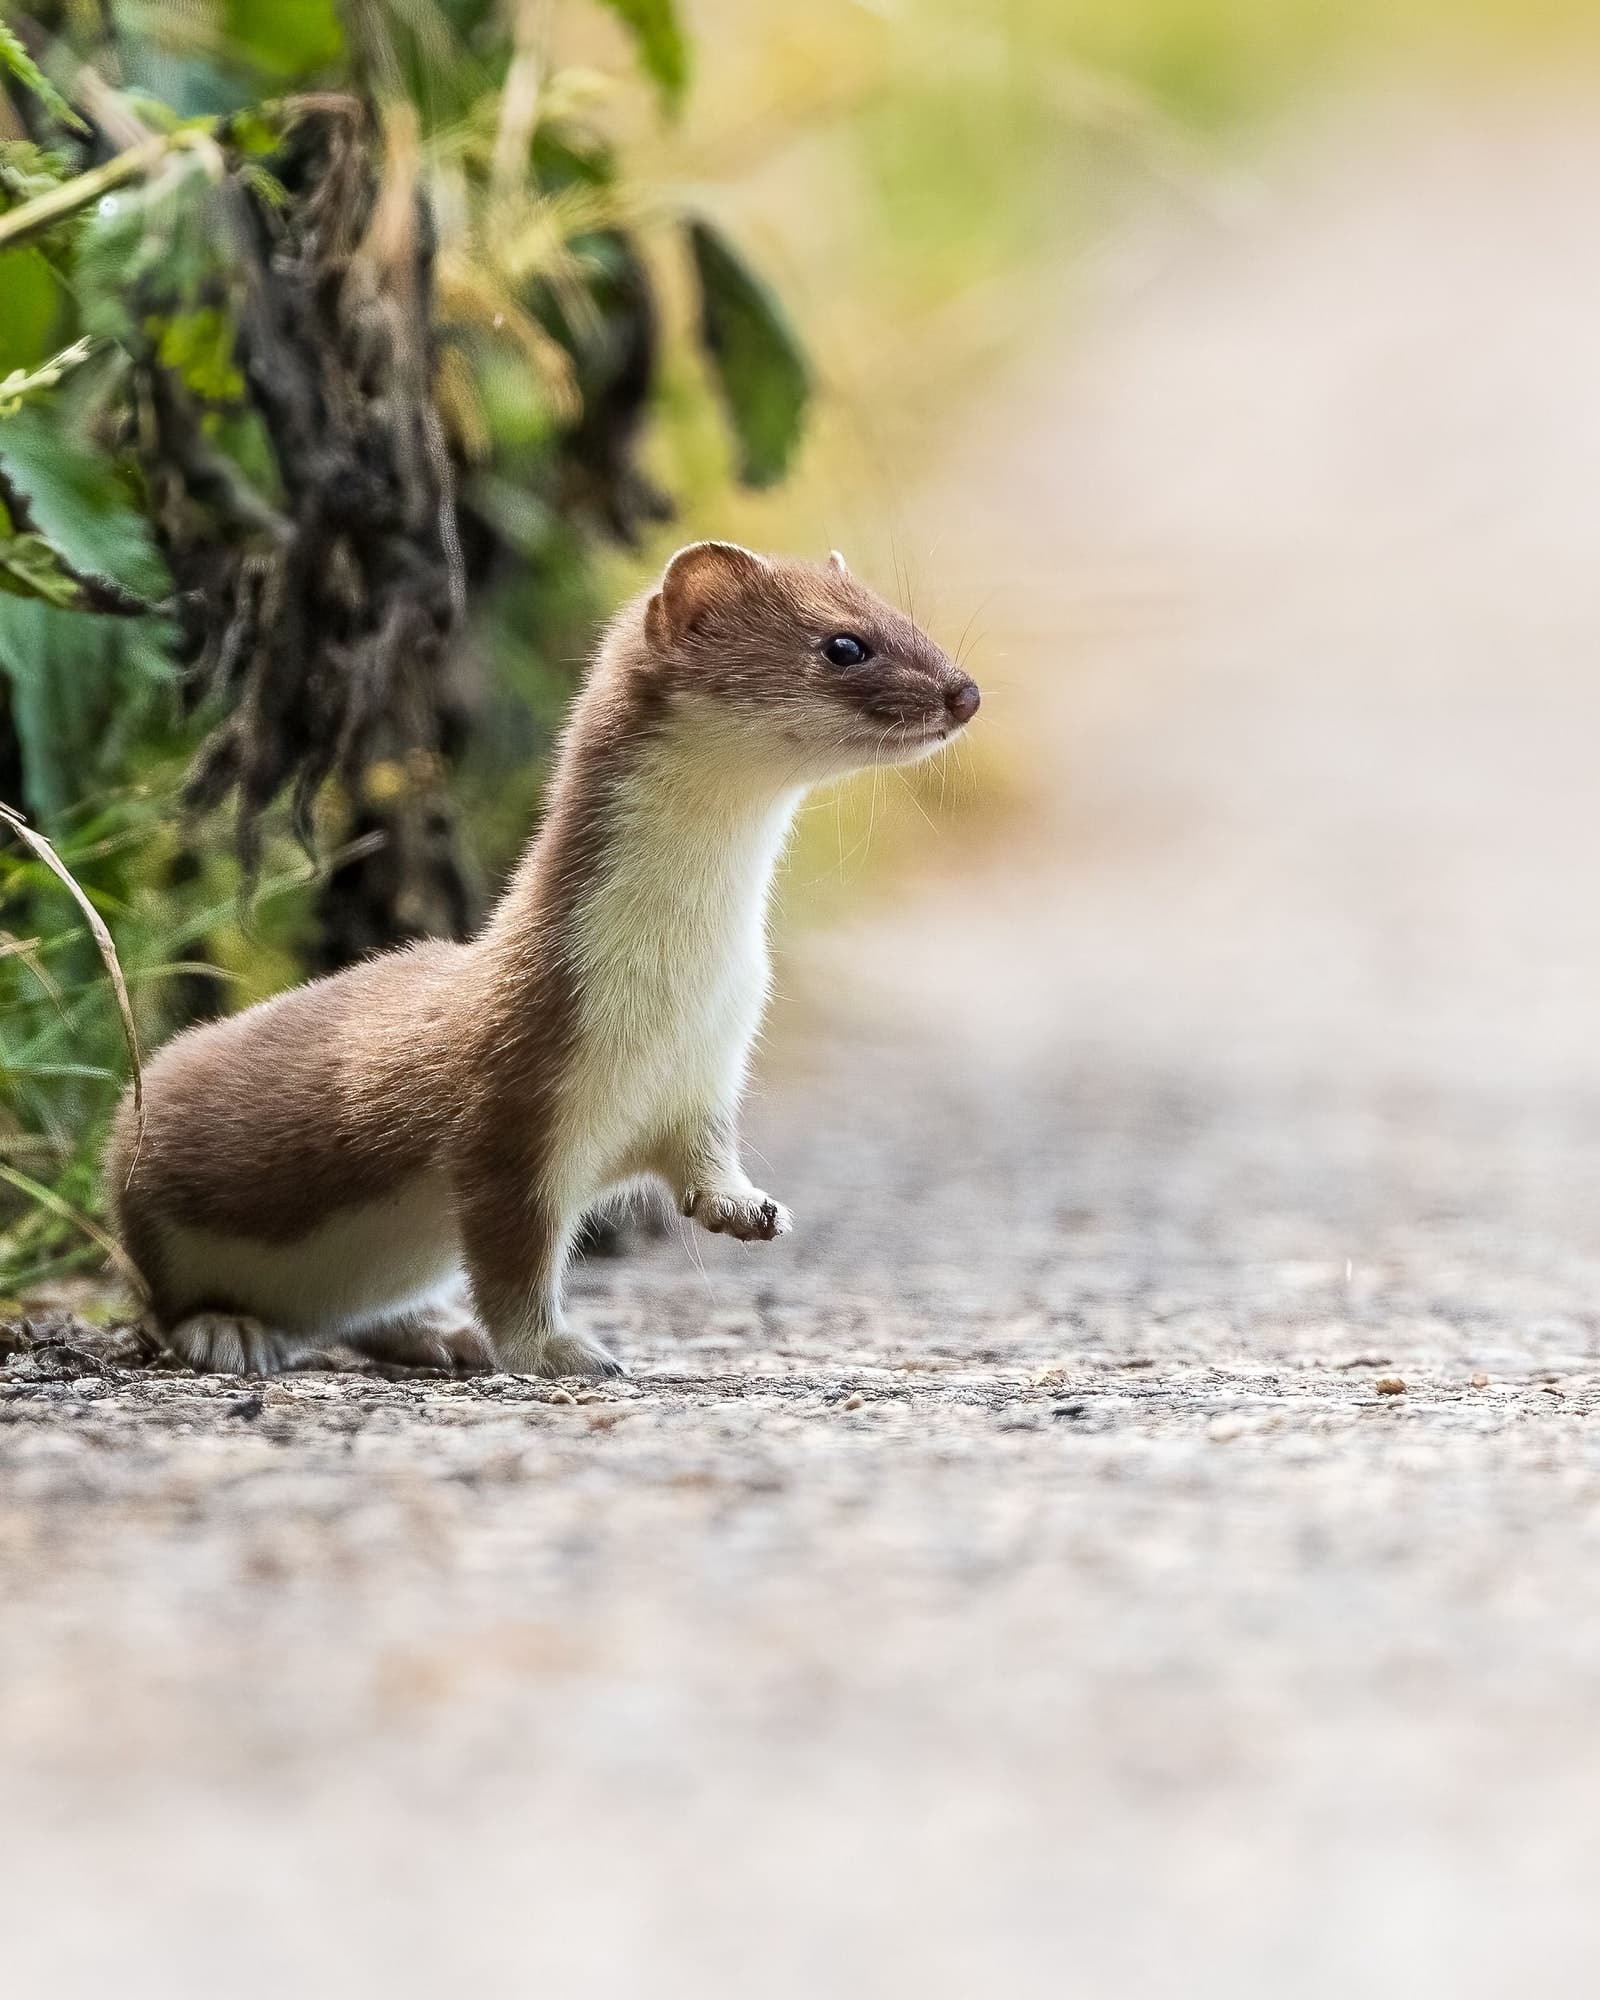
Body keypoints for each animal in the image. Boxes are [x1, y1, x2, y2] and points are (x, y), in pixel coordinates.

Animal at [109, 540, 976, 1368]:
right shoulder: (511, 1110)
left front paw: (744, 1206)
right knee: (162, 1302)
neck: (679, 984)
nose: (965, 692)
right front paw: (560, 1349)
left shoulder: (708, 1070)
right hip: (150, 1203)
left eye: (903, 616)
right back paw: (228, 1331)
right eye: (845, 644)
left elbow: (702, 1157)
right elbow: (513, 1262)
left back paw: (433, 1332)